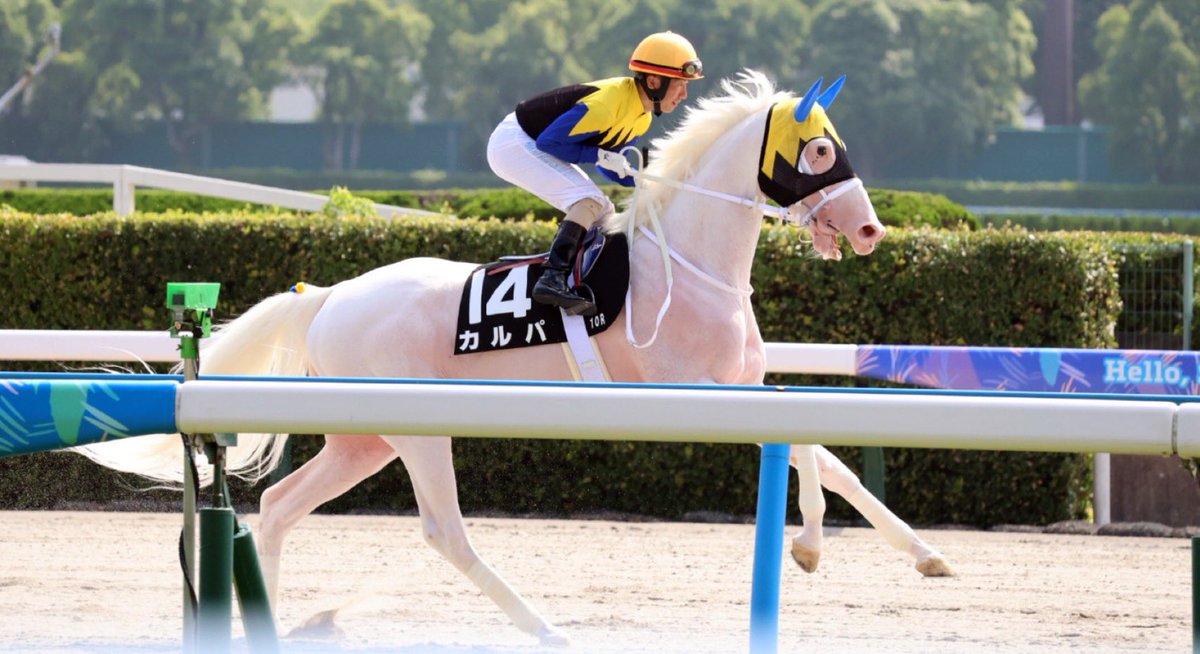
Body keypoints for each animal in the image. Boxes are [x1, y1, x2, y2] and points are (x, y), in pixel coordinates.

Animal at [78, 70, 951, 646]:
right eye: (819, 151)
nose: (870, 230)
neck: (691, 263)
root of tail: (326, 295)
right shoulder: (699, 392)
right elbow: (805, 447)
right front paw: (808, 545)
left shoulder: (747, 385)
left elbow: (830, 455)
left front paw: (924, 556)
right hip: (416, 431)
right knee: (444, 531)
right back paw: (546, 626)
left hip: (363, 436)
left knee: (284, 503)